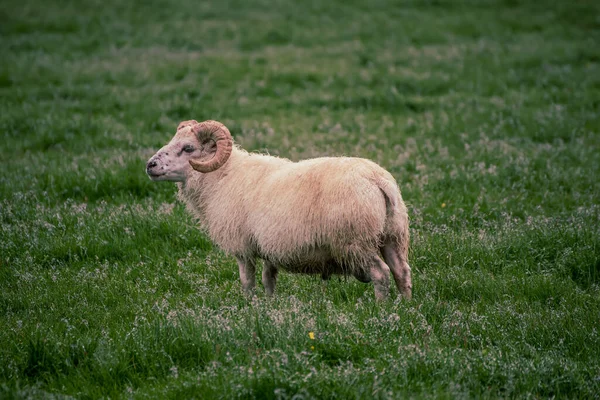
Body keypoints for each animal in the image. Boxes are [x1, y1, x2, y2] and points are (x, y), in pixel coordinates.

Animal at [146, 119, 412, 300]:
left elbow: (247, 281)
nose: (150, 165)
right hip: (393, 236)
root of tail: (377, 180)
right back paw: (403, 309)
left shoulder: (242, 246)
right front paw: (269, 305)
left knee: (381, 274)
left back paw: (380, 309)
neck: (221, 177)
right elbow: (268, 279)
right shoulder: (267, 247)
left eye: (188, 148)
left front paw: (249, 306)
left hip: (356, 241)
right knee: (402, 271)